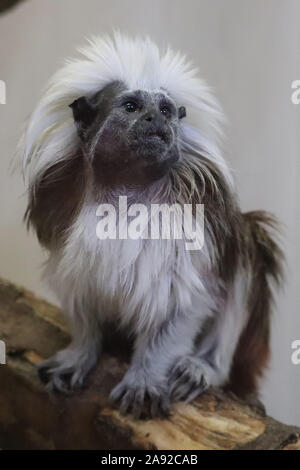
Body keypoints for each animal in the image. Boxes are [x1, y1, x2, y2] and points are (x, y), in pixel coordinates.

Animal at [22, 33, 282, 418]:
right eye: (131, 107)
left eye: (165, 110)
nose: (153, 119)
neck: (126, 192)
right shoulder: (64, 221)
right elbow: (81, 292)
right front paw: (80, 353)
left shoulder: (194, 227)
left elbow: (182, 305)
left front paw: (145, 379)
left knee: (247, 249)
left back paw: (203, 367)